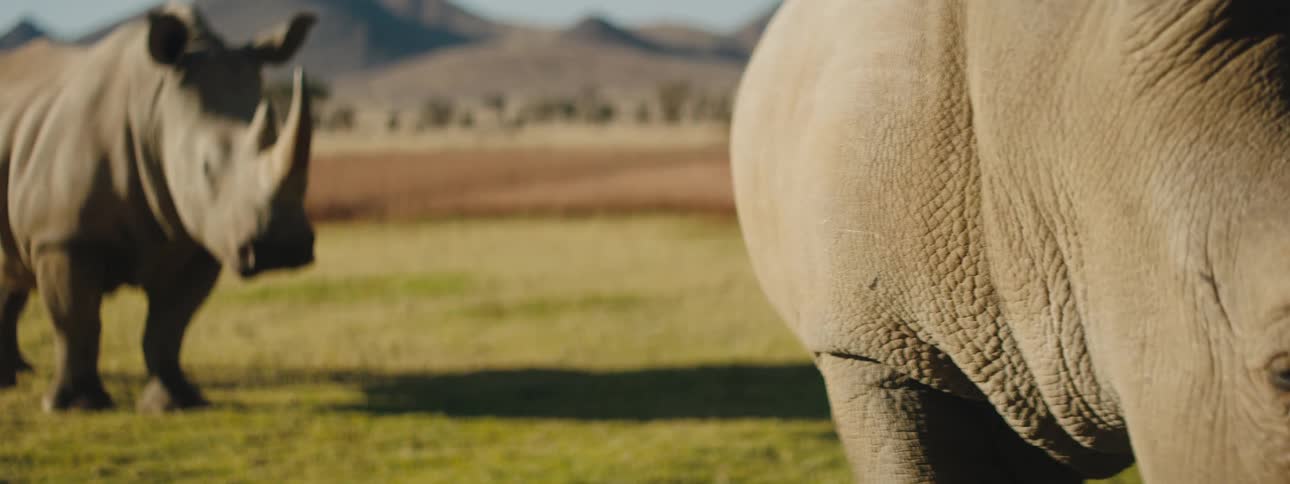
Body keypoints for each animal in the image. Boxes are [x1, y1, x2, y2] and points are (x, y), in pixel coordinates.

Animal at [0, 4, 317, 413]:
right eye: (205, 168)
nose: (283, 250)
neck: (154, 113)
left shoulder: (202, 237)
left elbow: (169, 325)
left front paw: (175, 402)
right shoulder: (62, 235)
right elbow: (76, 320)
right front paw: (77, 406)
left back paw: (16, 374)